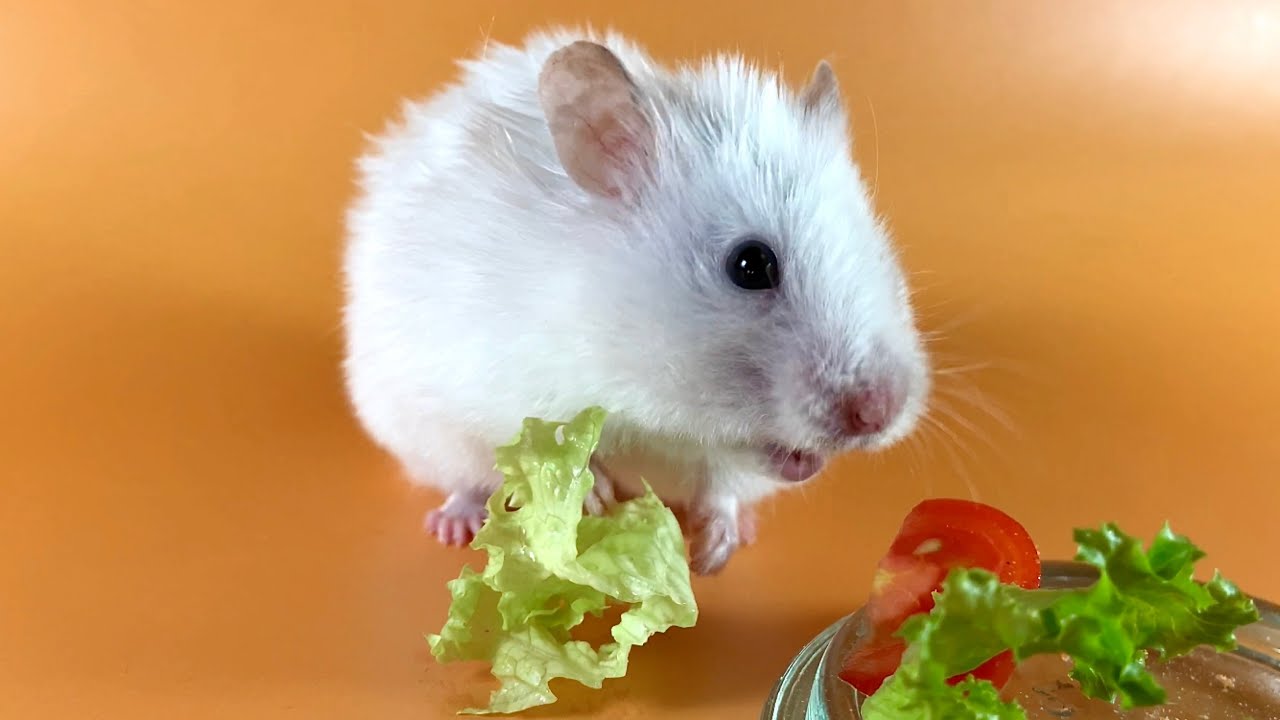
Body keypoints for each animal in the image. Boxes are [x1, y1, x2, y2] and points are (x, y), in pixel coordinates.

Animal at [341, 27, 930, 575]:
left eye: (879, 250)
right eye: (750, 265)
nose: (881, 412)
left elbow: (722, 486)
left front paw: (713, 553)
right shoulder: (495, 382)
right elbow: (533, 439)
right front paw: (593, 494)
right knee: (461, 477)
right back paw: (453, 525)